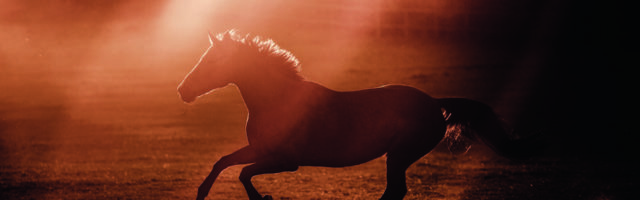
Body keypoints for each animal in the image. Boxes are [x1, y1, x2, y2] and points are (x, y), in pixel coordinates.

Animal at [176, 30, 516, 200]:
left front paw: (264, 199)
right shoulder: (261, 150)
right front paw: (201, 193)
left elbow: (244, 173)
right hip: (398, 156)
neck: (278, 100)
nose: (182, 90)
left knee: (395, 192)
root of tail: (434, 101)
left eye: (212, 61)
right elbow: (224, 162)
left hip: (399, 155)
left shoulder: (286, 161)